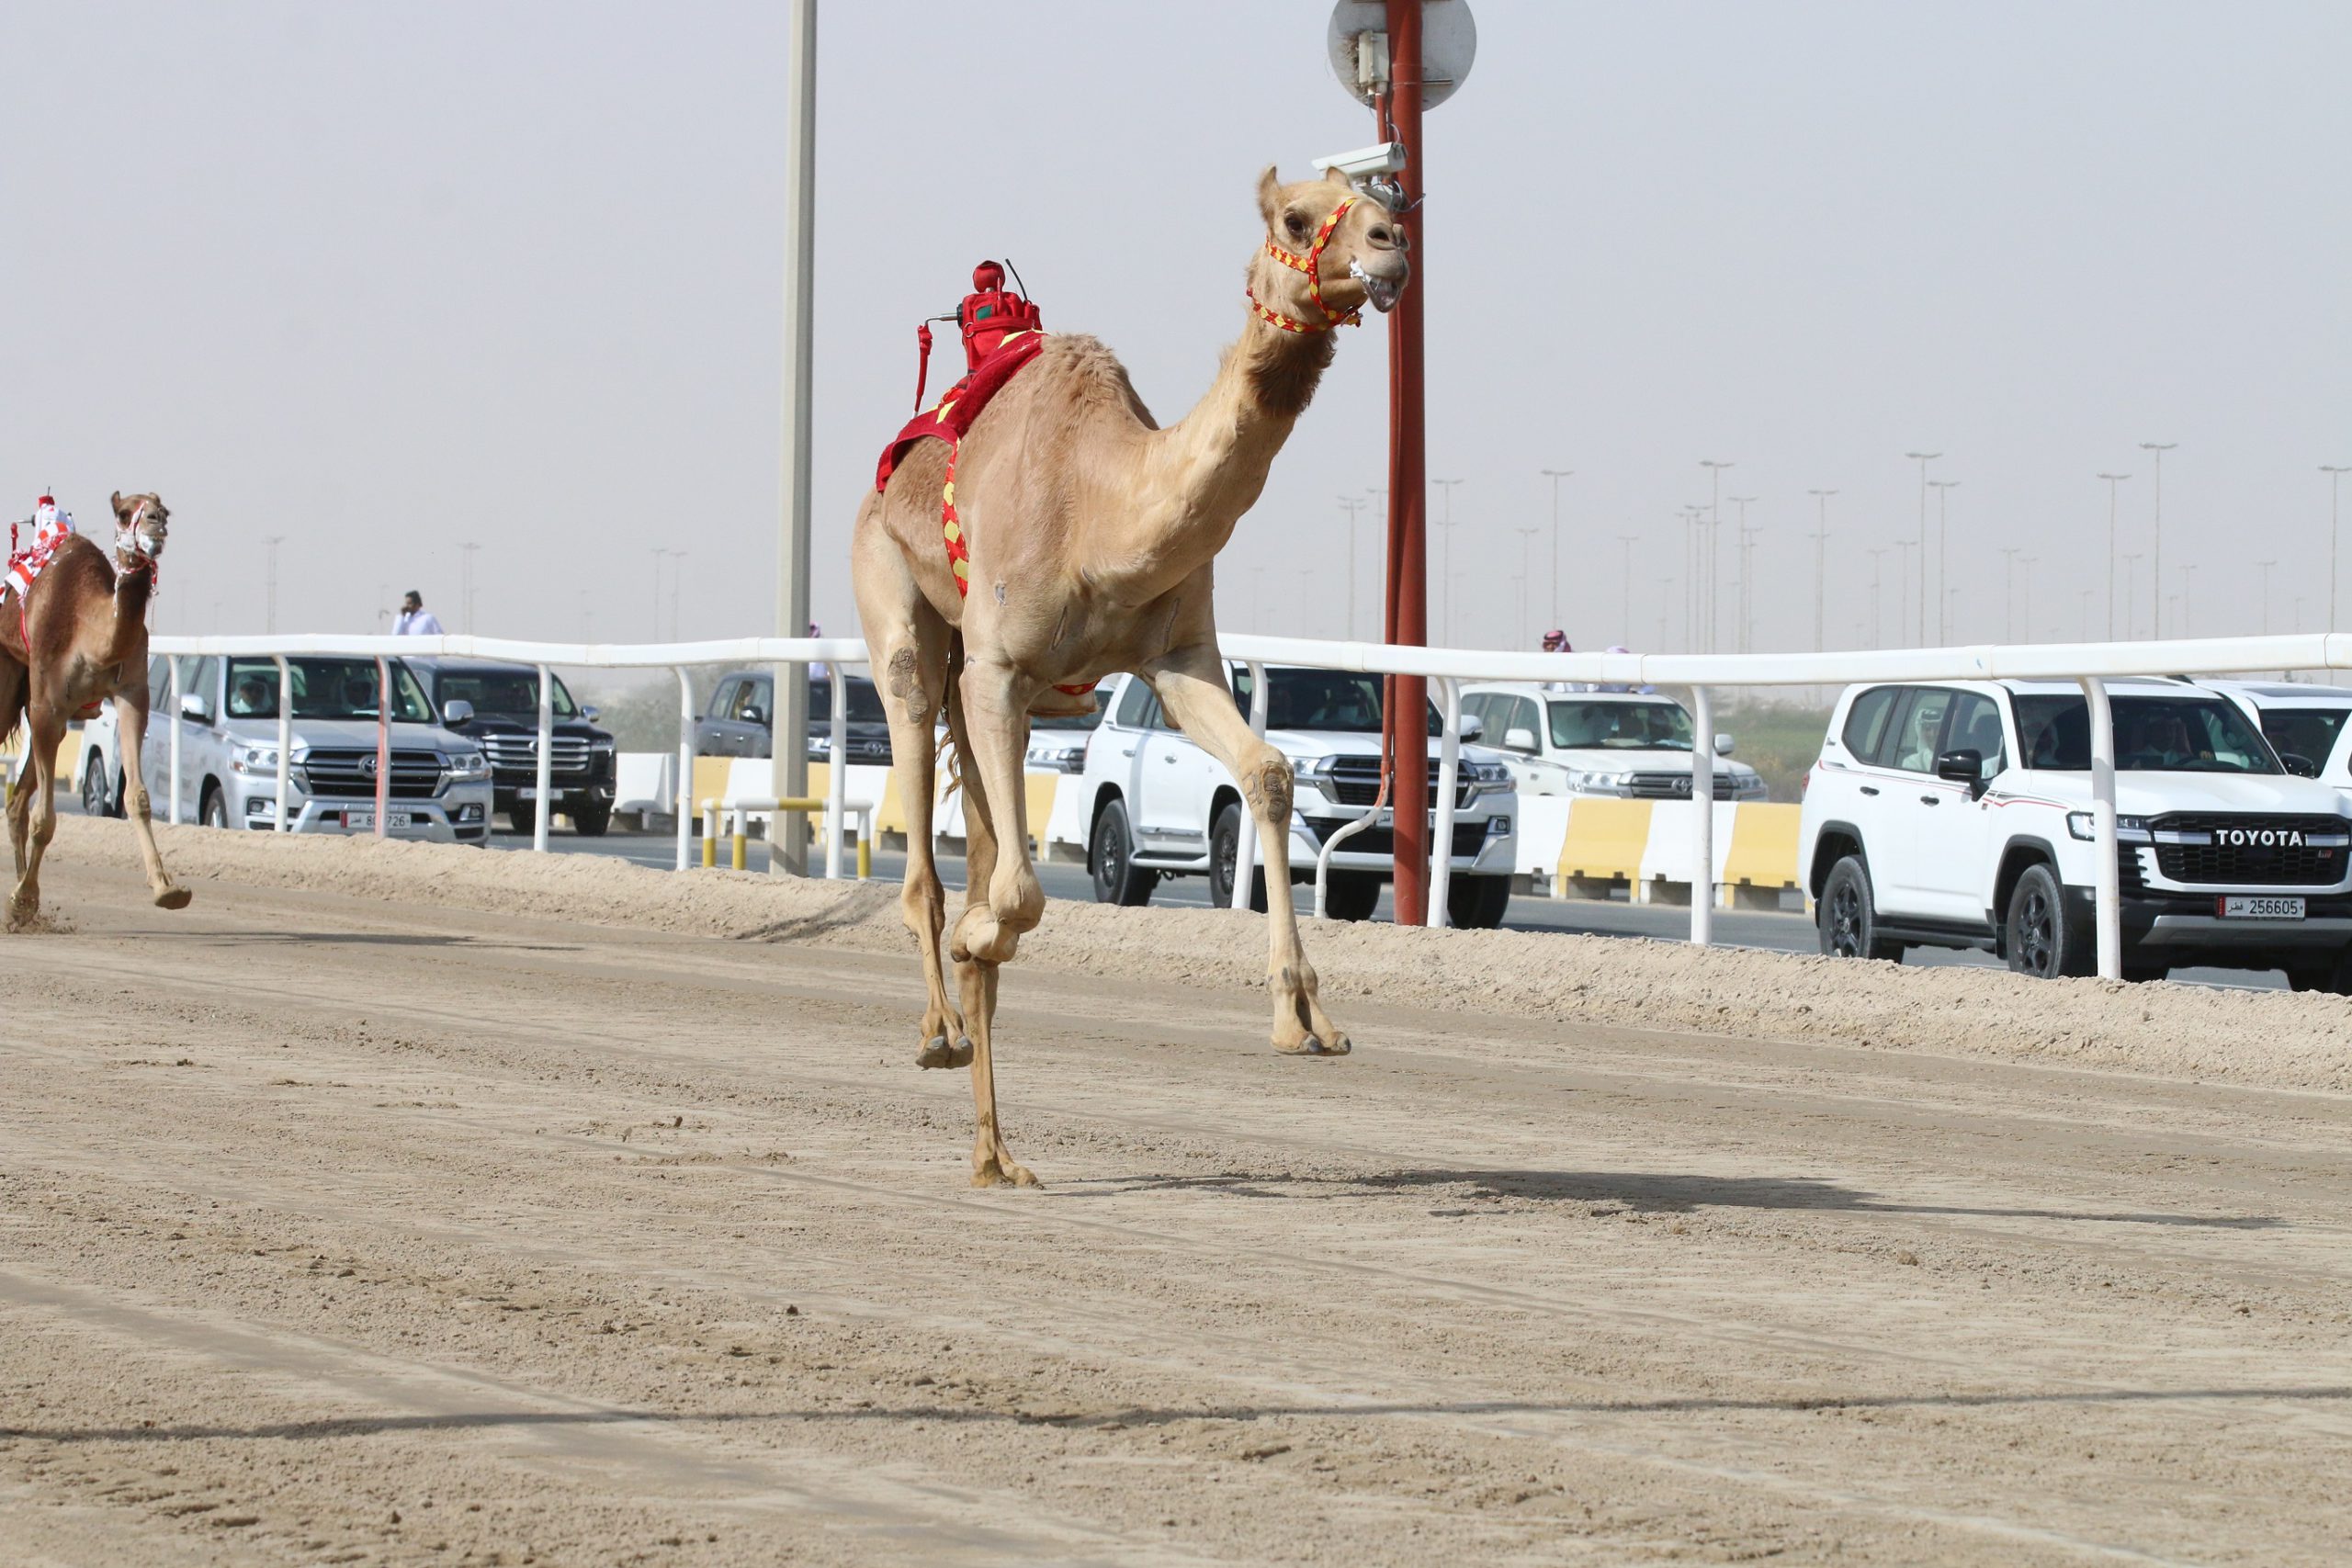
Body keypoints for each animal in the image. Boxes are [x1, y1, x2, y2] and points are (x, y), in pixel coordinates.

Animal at [0, 491, 189, 926]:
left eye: (164, 510)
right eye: (124, 513)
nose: (155, 524)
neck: (90, 632)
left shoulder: (132, 695)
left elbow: (137, 797)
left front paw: (166, 888)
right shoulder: (47, 706)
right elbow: (45, 820)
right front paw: (24, 897)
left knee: (17, 804)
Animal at [860, 165, 1411, 1184]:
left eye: (1380, 199)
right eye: (1297, 218)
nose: (1391, 245)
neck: (1104, 509)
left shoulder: (1177, 657)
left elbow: (1269, 771)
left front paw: (1304, 1014)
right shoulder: (999, 665)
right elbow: (1020, 894)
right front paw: (978, 940)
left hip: (1002, 692)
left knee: (983, 846)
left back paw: (997, 1156)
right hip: (903, 617)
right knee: (924, 825)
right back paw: (940, 1029)